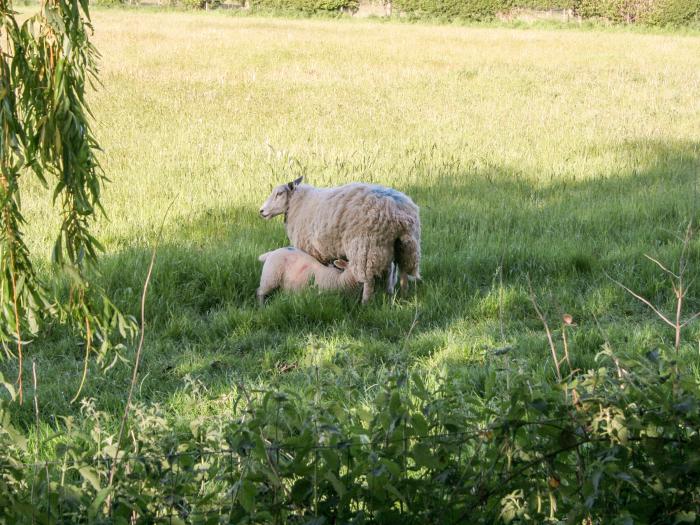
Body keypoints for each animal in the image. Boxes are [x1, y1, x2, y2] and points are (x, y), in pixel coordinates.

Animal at [258, 176, 418, 302]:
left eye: (279, 193)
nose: (261, 211)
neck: (298, 203)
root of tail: (398, 212)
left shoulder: (309, 248)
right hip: (403, 247)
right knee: (401, 272)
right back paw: (400, 295)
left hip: (365, 247)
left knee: (368, 280)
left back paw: (365, 303)